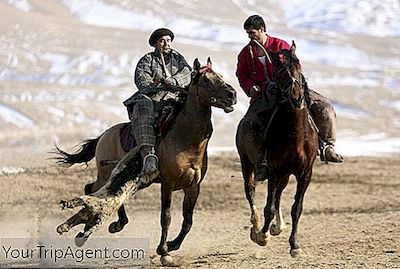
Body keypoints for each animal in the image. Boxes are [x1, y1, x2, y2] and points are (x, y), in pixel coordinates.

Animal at [52, 57, 234, 264]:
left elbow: (188, 221)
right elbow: (166, 217)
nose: (232, 95)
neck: (186, 139)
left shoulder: (193, 186)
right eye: (206, 80)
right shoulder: (168, 184)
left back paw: (113, 224)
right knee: (92, 189)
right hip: (107, 174)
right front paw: (163, 251)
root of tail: (105, 135)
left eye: (220, 76)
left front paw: (172, 245)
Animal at [236, 42, 318, 255]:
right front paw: (261, 236)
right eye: (279, 72)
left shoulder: (304, 173)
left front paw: (294, 245)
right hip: (248, 164)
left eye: (298, 66)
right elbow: (268, 208)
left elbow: (297, 208)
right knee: (251, 191)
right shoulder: (273, 170)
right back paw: (257, 227)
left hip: (285, 174)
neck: (296, 135)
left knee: (279, 195)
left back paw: (277, 227)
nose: (297, 98)